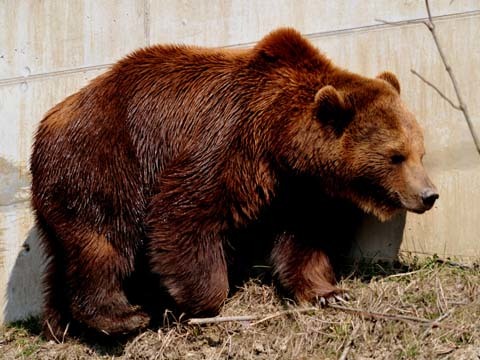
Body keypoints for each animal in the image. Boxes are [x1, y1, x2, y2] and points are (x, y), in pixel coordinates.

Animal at [30, 26, 438, 338]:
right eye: (396, 155)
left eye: (420, 152)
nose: (429, 194)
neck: (279, 141)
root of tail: (44, 126)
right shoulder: (225, 144)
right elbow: (183, 214)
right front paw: (197, 303)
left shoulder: (297, 190)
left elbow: (305, 240)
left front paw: (328, 292)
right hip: (104, 166)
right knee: (106, 242)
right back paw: (121, 316)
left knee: (68, 253)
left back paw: (60, 325)